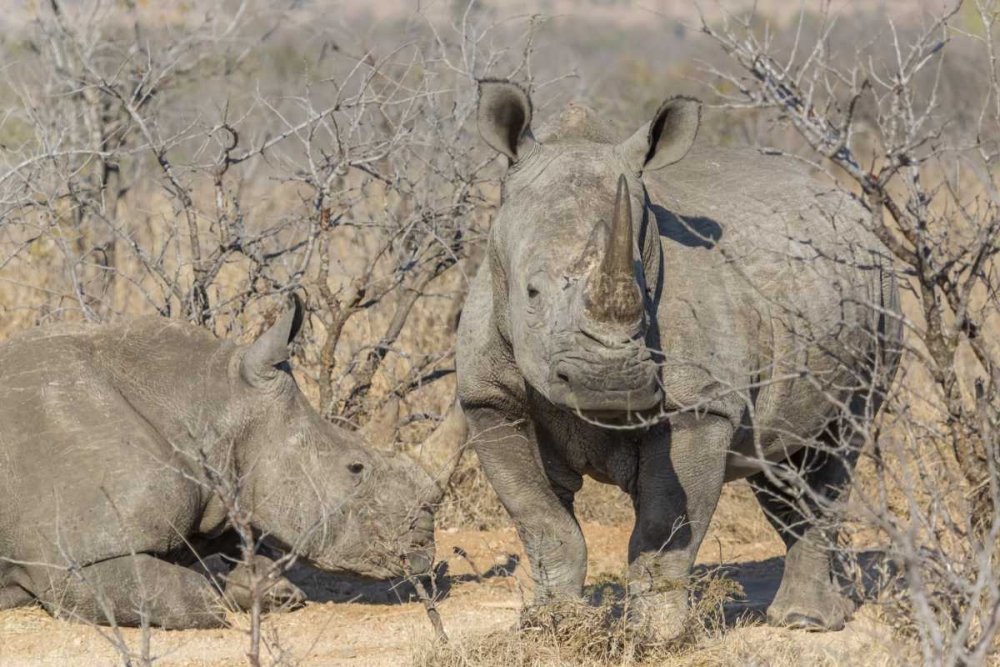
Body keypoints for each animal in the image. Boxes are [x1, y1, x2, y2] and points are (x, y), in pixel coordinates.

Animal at [0, 296, 464, 629]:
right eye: (355, 468)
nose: (422, 551)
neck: (205, 403)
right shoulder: (74, 564)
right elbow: (191, 595)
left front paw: (267, 587)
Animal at [457, 81, 902, 636]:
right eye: (531, 292)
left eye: (647, 292)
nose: (609, 384)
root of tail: (852, 208)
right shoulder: (488, 399)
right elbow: (543, 522)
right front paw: (551, 627)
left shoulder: (700, 405)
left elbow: (662, 529)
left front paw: (653, 639)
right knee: (780, 464)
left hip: (883, 291)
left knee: (839, 443)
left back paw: (806, 623)